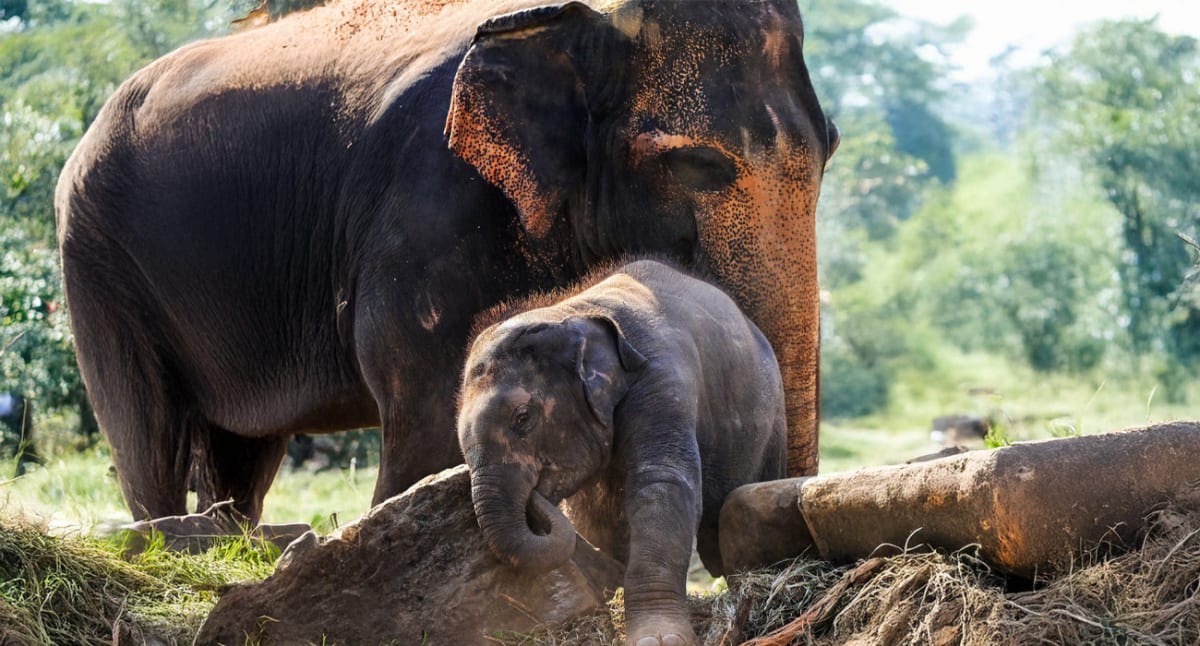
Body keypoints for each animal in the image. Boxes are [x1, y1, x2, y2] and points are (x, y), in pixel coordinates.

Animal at [55, 0, 836, 524]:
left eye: (830, 146)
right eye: (693, 162)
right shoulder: (428, 206)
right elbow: (432, 421)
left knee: (242, 451)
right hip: (96, 257)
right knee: (148, 433)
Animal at [458, 259, 785, 646]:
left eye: (523, 418)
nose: (536, 494)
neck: (574, 312)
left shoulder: (663, 381)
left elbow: (662, 486)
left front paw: (658, 639)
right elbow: (594, 516)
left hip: (774, 421)